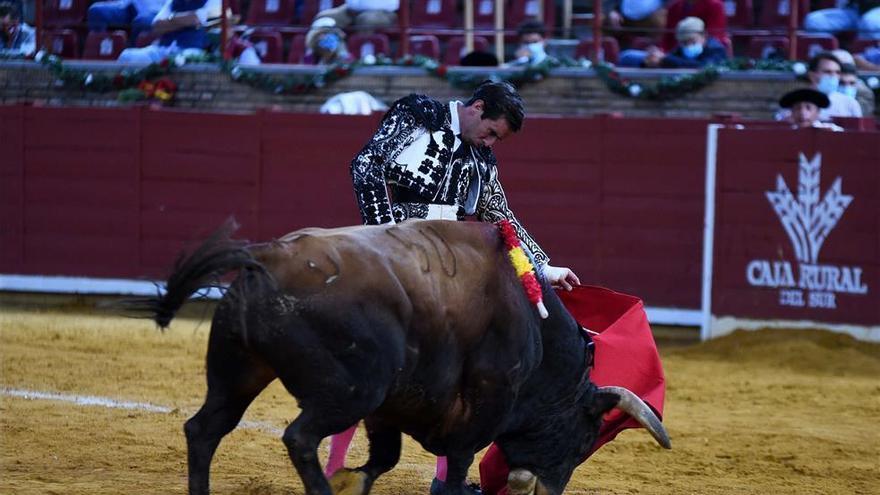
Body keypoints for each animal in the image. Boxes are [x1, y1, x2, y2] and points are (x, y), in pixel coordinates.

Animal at [134, 220, 668, 495]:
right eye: (583, 440)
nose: (551, 493)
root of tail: (263, 260)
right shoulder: (481, 409)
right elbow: (454, 467)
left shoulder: (391, 409)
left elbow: (382, 460)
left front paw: (352, 482)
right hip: (350, 390)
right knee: (300, 437)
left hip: (239, 372)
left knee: (204, 429)